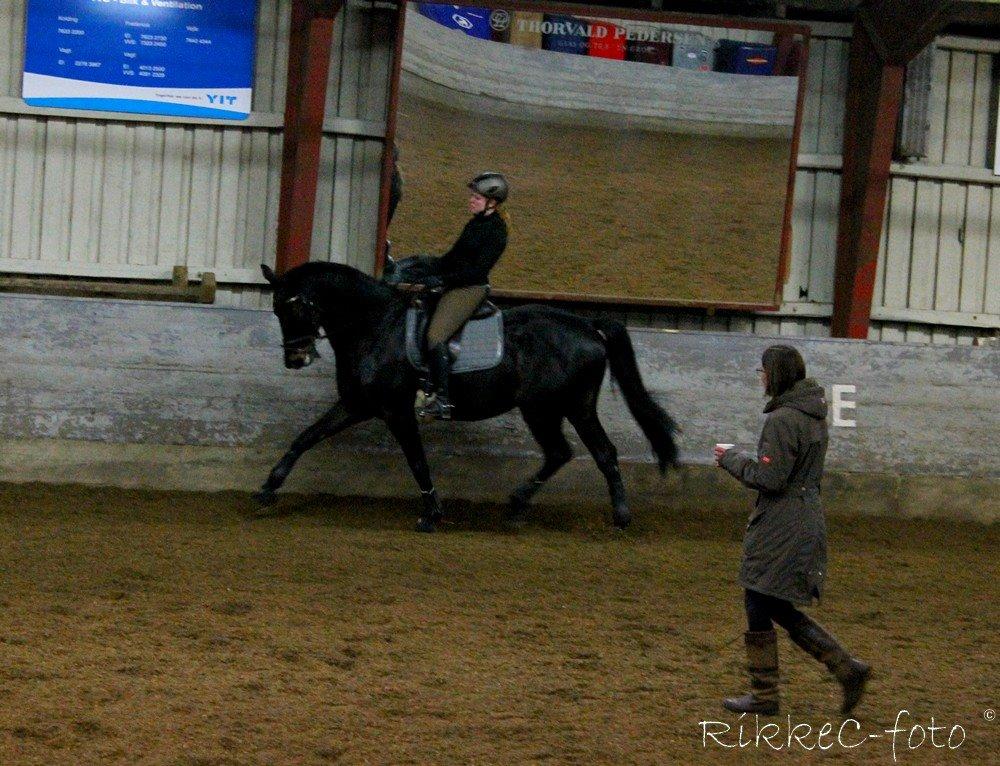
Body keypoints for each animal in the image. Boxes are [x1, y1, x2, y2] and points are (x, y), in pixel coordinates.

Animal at [258, 260, 680, 532]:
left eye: (293, 307)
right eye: (275, 309)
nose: (295, 358)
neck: (375, 327)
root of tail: (589, 326)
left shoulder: (395, 411)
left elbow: (417, 460)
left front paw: (431, 514)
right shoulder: (356, 404)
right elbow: (305, 437)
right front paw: (268, 487)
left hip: (560, 407)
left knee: (590, 452)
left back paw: (611, 516)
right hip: (554, 408)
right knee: (571, 452)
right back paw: (526, 508)